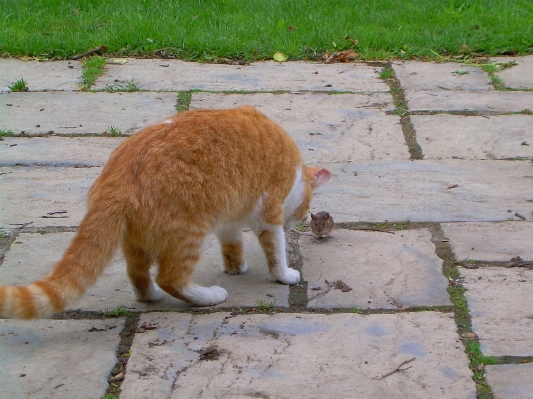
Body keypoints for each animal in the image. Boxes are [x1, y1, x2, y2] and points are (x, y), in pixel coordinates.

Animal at [0, 105, 328, 318]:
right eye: (302, 215)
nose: (291, 227)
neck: (294, 171)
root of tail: (116, 180)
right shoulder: (268, 213)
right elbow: (275, 251)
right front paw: (284, 274)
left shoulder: (229, 217)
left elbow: (232, 244)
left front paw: (235, 266)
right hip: (189, 233)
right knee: (171, 279)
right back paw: (209, 296)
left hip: (136, 242)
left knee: (138, 275)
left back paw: (150, 297)